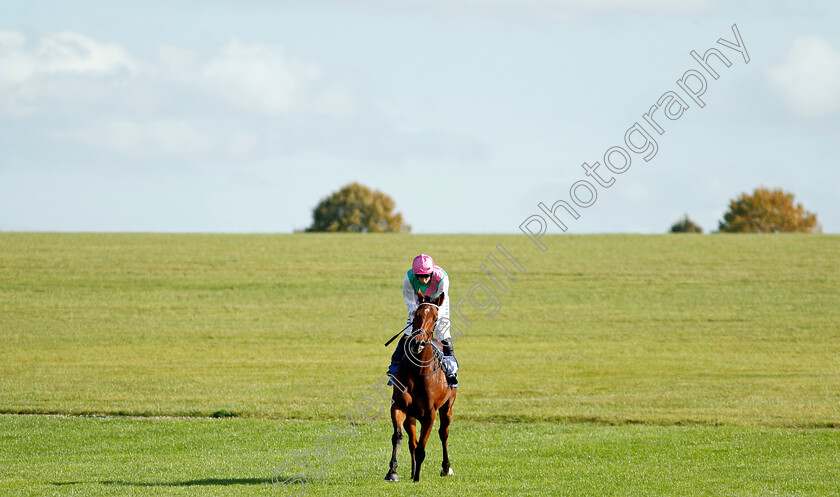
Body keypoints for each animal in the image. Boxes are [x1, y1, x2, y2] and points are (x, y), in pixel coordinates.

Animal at [384, 290, 456, 480]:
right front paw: (392, 472)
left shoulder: (430, 414)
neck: (418, 372)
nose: (418, 343)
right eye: (416, 314)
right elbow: (399, 437)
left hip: (447, 407)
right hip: (411, 416)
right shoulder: (399, 406)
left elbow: (422, 447)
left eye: (436, 318)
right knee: (412, 442)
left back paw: (446, 468)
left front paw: (417, 478)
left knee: (443, 434)